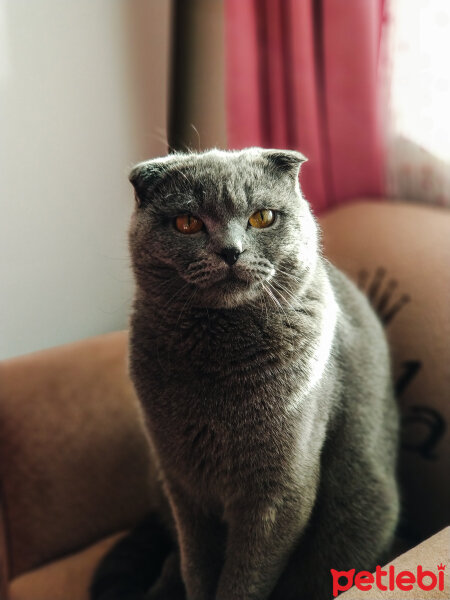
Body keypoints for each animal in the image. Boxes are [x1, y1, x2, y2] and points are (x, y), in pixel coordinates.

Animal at [89, 146, 400, 600]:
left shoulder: (278, 493)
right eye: (187, 222)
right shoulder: (183, 483)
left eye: (262, 217)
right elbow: (196, 564)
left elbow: (245, 576)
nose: (231, 251)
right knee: (173, 557)